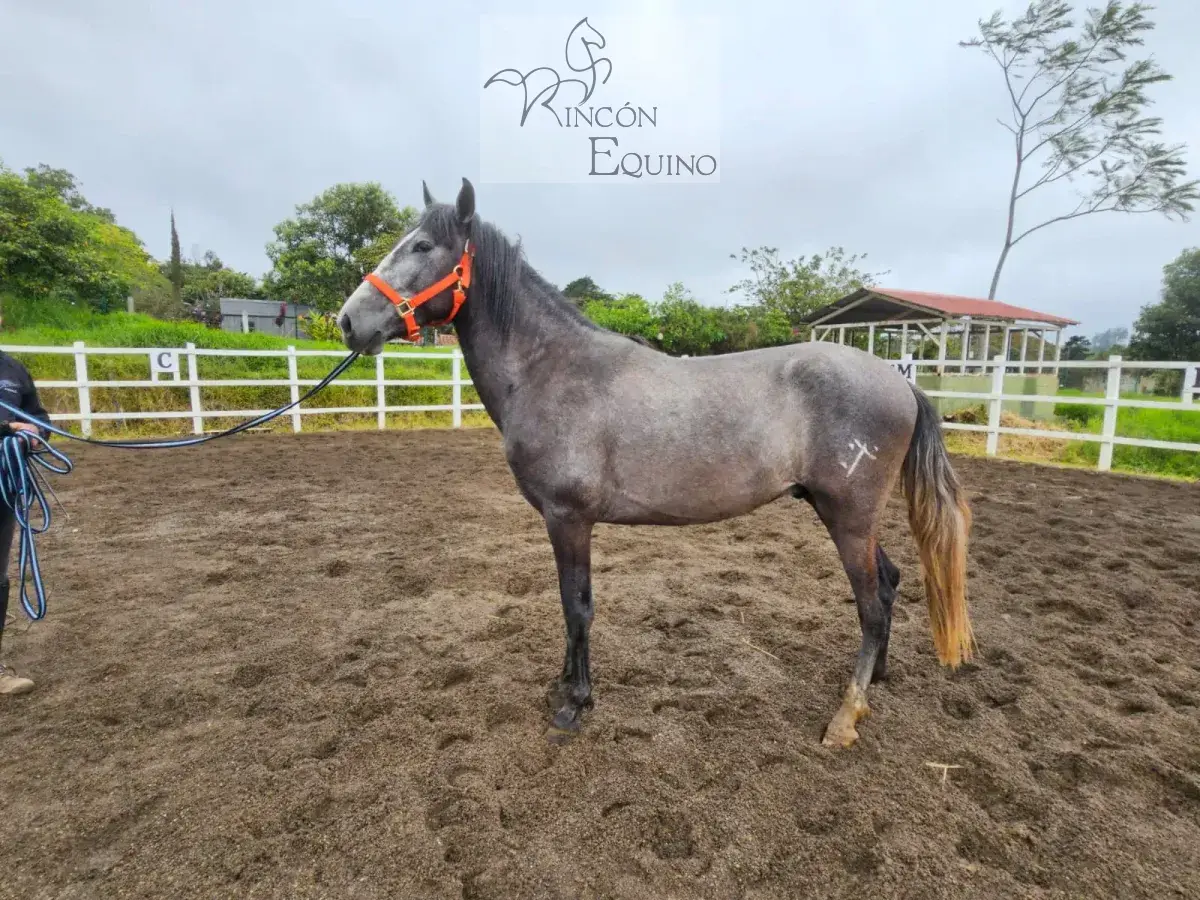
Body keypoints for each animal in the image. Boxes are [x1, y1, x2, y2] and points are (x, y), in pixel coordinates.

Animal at [337, 178, 974, 749]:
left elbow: (577, 607)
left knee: (870, 606)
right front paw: (562, 686)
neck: (551, 370)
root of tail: (898, 380)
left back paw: (845, 717)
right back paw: (874, 685)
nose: (348, 321)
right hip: (841, 513)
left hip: (849, 516)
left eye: (422, 247)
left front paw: (574, 703)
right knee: (888, 585)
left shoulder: (568, 518)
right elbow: (570, 607)